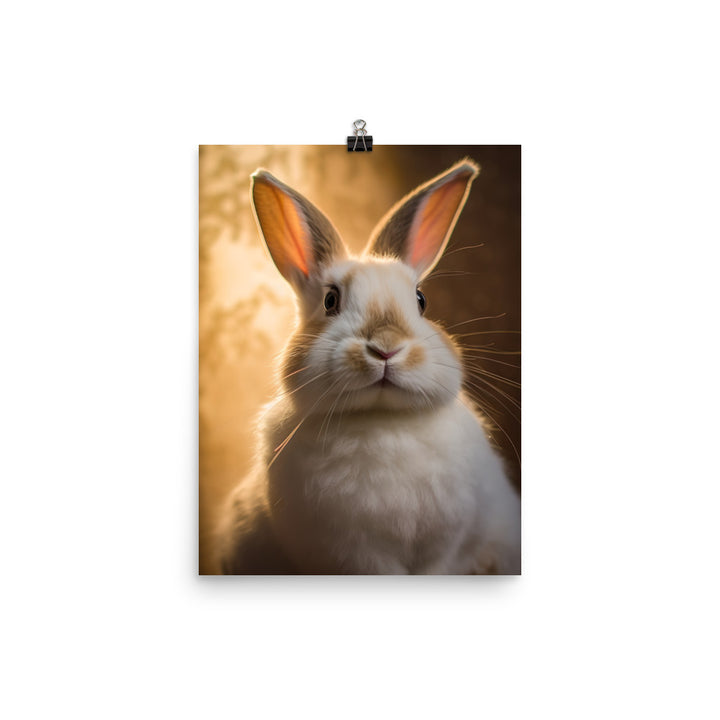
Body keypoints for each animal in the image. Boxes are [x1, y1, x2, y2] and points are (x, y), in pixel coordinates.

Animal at [215, 159, 520, 575]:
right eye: (330, 301)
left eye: (421, 300)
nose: (386, 348)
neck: (383, 420)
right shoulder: (353, 554)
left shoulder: (445, 548)